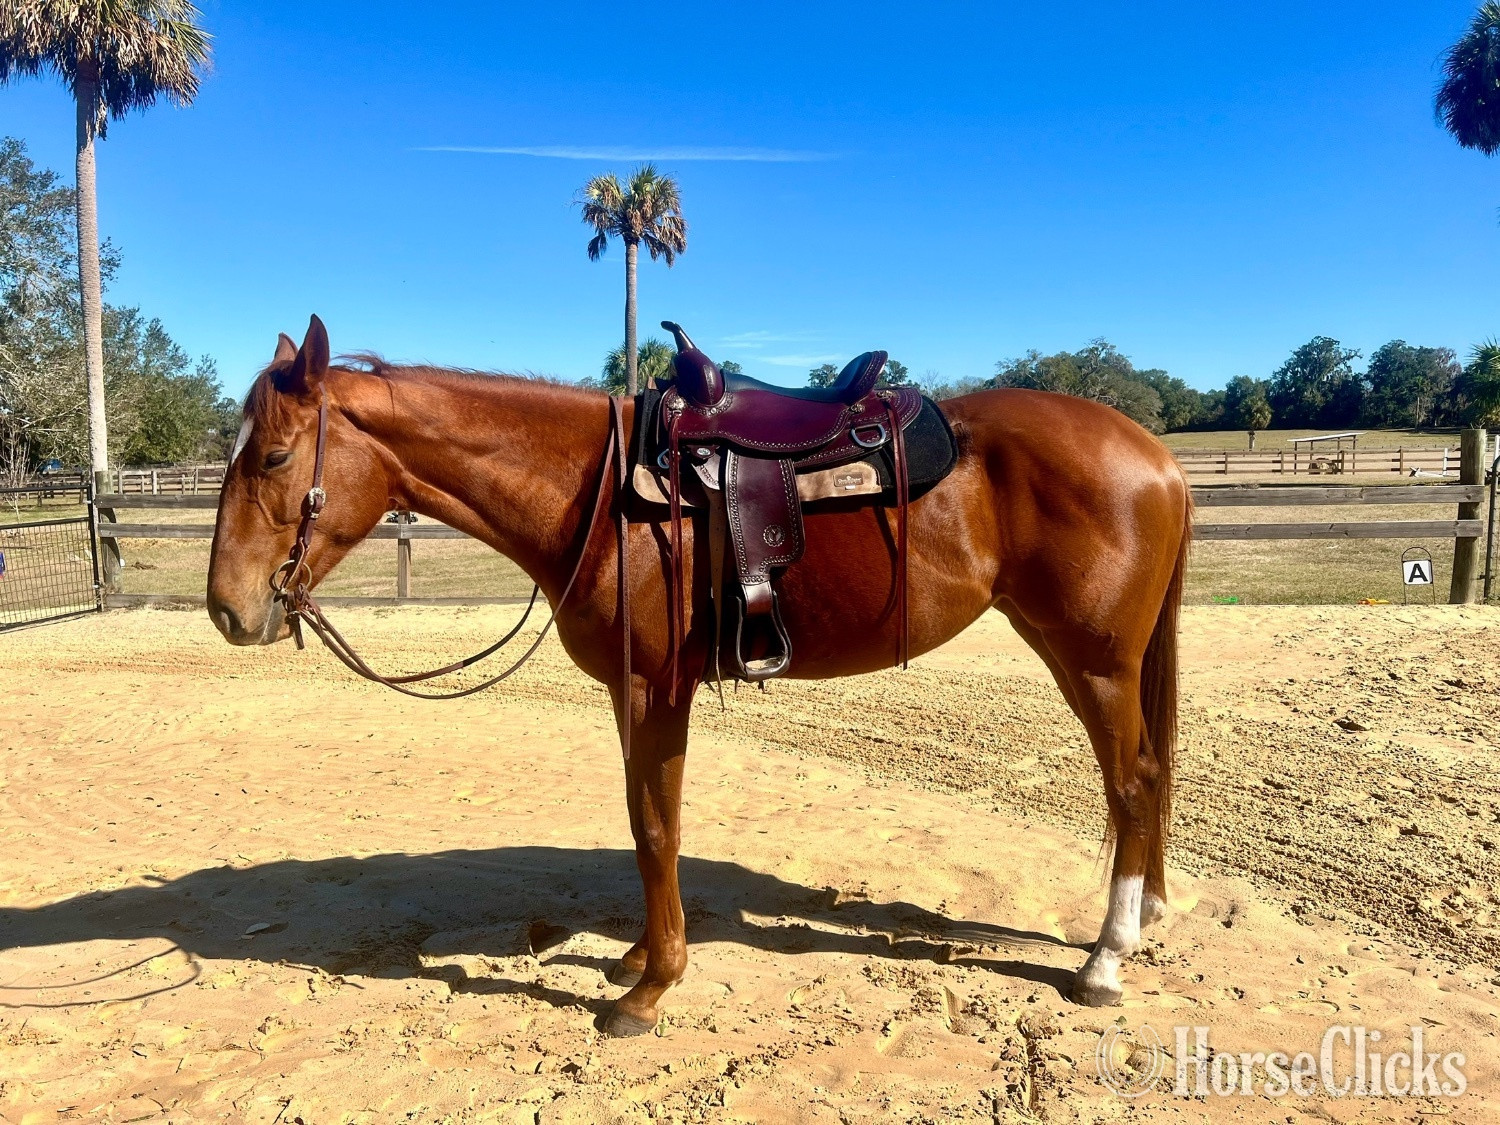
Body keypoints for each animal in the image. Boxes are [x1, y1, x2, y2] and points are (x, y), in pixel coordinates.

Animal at [206, 316, 1192, 1037]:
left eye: (275, 457)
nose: (227, 610)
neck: (596, 492)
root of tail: (1159, 457)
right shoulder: (628, 691)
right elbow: (643, 819)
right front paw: (640, 958)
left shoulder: (656, 689)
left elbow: (656, 826)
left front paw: (650, 989)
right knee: (1144, 781)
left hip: (1095, 659)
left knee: (1133, 782)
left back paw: (1104, 959)